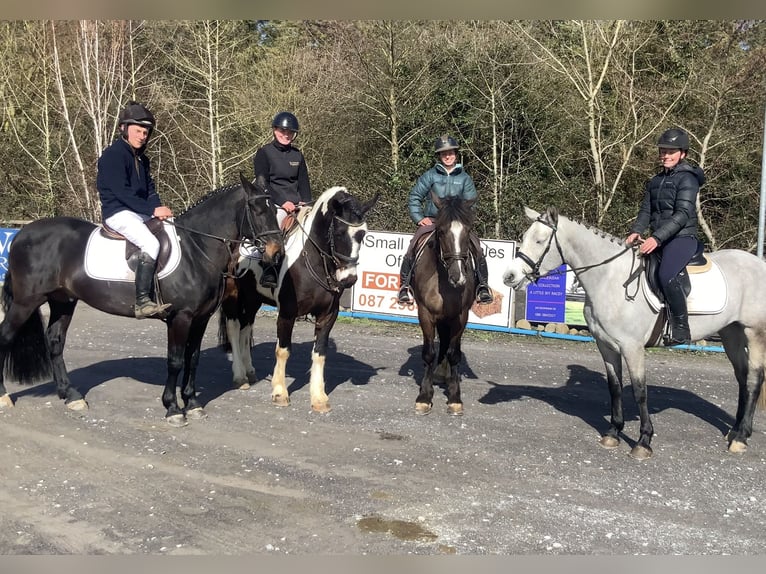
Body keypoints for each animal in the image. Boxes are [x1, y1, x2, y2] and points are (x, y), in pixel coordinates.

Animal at [0, 173, 283, 426]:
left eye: (275, 209)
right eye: (257, 209)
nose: (276, 253)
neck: (197, 249)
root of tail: (22, 234)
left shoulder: (200, 318)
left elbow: (193, 359)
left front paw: (192, 405)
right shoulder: (180, 318)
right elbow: (175, 361)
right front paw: (172, 409)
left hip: (63, 301)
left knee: (55, 342)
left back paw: (71, 396)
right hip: (26, 302)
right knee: (6, 337)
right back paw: (4, 396)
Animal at [218, 186, 378, 412]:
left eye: (363, 235)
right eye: (338, 232)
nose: (349, 279)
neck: (311, 260)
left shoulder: (328, 315)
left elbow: (319, 353)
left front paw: (319, 398)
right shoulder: (287, 313)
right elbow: (283, 351)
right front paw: (279, 393)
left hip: (253, 299)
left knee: (246, 328)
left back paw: (250, 371)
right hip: (233, 297)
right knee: (234, 328)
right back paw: (240, 376)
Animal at [409, 194, 477, 416]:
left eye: (468, 230)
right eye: (440, 231)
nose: (458, 276)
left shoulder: (460, 316)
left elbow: (454, 354)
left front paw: (455, 398)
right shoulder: (426, 313)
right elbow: (429, 353)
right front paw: (424, 396)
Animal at [503, 206, 766, 459]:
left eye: (540, 241)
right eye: (524, 237)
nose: (509, 277)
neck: (610, 279)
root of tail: (758, 264)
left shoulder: (632, 347)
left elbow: (640, 391)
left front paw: (643, 442)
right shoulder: (606, 345)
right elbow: (615, 387)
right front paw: (613, 433)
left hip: (754, 333)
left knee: (754, 379)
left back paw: (741, 438)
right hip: (731, 333)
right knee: (742, 377)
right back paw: (733, 431)